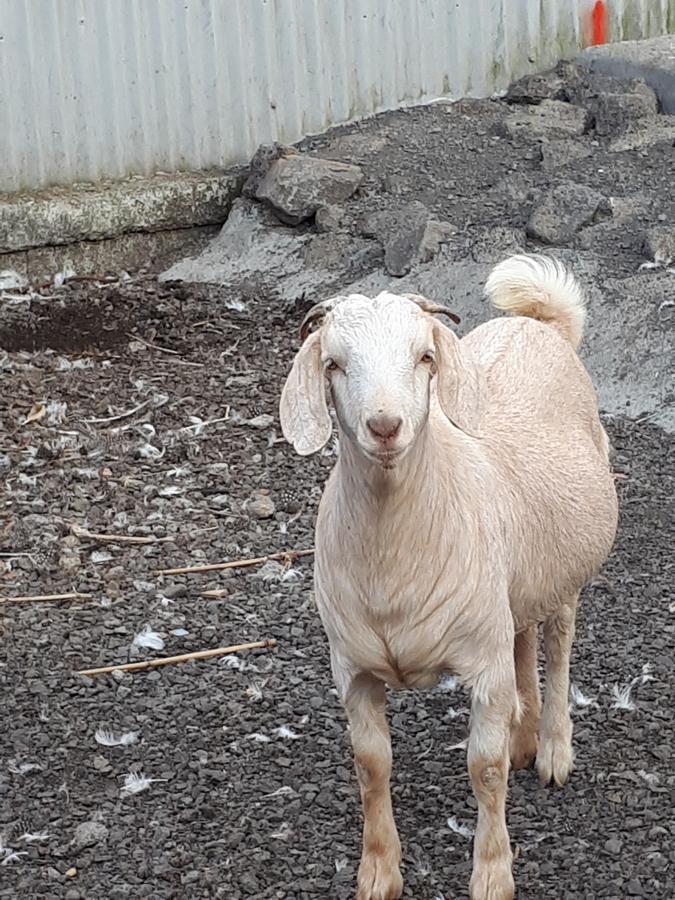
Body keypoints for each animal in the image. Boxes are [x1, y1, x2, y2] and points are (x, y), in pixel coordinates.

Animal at [278, 255, 616, 900]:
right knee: (523, 638)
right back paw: (525, 735)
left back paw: (553, 750)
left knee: (558, 645)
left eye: (424, 357)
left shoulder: (481, 665)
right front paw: (378, 872)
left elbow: (483, 770)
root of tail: (540, 325)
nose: (385, 426)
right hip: (513, 583)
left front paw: (492, 874)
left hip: (566, 567)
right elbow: (371, 766)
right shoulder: (353, 669)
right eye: (334, 364)